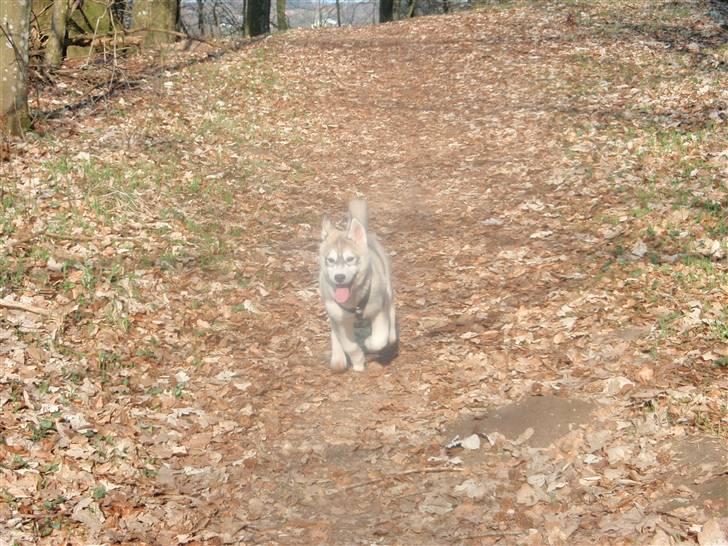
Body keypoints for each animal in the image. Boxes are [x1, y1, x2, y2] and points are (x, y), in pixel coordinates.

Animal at [318, 198, 398, 372]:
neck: (355, 303)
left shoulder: (378, 310)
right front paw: (358, 363)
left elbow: (378, 339)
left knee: (391, 311)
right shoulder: (341, 320)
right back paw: (338, 357)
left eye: (350, 259)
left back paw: (392, 335)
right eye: (330, 260)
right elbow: (350, 346)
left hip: (387, 289)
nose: (339, 277)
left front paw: (369, 343)